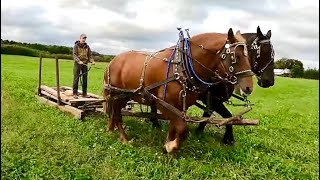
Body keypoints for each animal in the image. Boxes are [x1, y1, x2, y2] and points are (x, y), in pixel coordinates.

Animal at [104, 28, 254, 153]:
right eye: (236, 57)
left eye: (249, 56)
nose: (249, 88)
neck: (182, 67)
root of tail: (112, 61)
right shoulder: (163, 103)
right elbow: (182, 129)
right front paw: (172, 146)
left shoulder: (180, 106)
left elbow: (174, 127)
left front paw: (167, 144)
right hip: (118, 95)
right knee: (116, 115)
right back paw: (124, 138)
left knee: (113, 113)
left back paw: (111, 129)